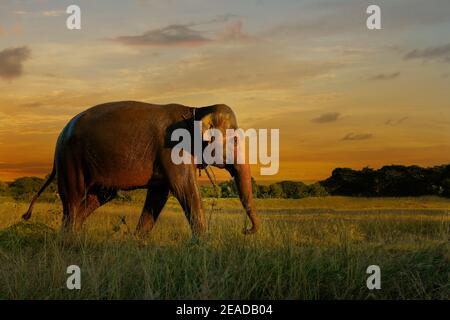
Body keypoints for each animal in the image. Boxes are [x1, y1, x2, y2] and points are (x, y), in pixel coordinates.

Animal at [22, 100, 260, 238]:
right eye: (235, 141)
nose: (246, 230)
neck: (197, 109)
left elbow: (158, 195)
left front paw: (136, 243)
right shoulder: (173, 148)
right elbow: (184, 188)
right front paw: (203, 244)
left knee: (97, 198)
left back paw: (72, 238)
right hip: (70, 158)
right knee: (73, 199)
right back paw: (69, 242)